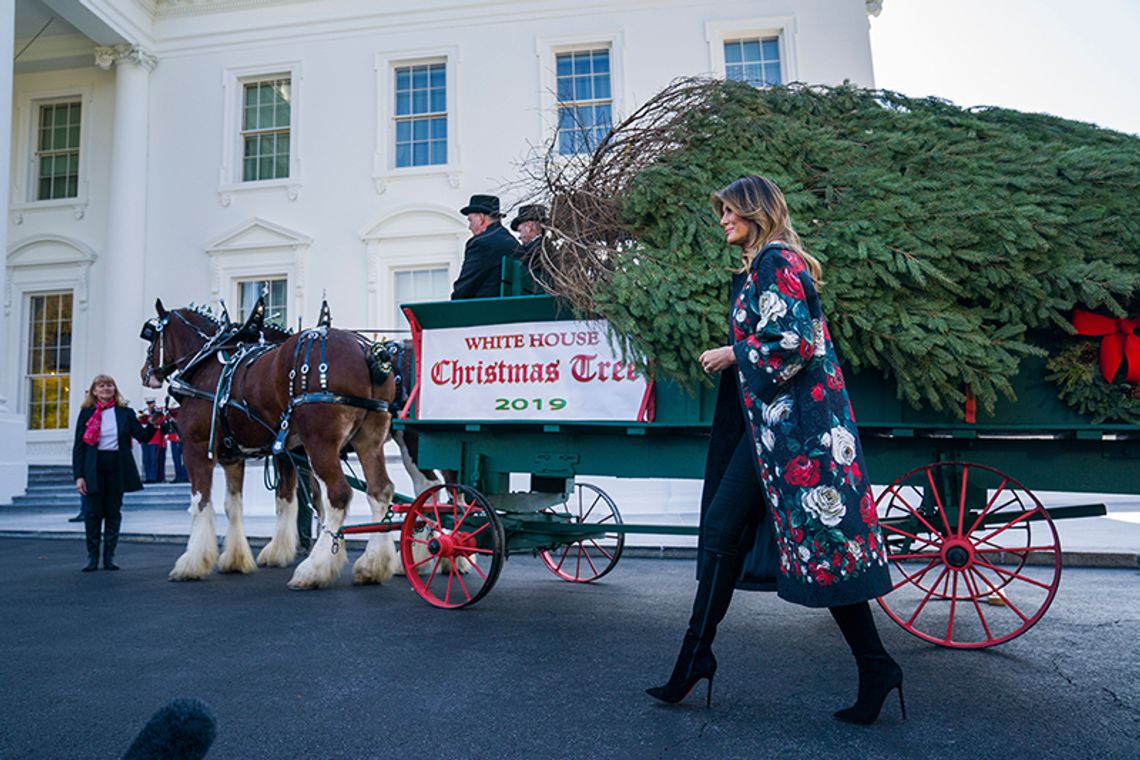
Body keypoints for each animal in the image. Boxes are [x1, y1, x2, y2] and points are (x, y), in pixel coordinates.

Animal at [139, 300, 401, 592]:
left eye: (151, 335)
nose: (145, 373)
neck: (206, 364)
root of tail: (367, 350)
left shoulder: (196, 447)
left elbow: (201, 502)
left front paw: (192, 562)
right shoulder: (238, 456)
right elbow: (240, 504)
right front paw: (239, 558)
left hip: (320, 443)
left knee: (338, 495)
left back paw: (314, 568)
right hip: (369, 441)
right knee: (380, 492)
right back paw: (373, 565)